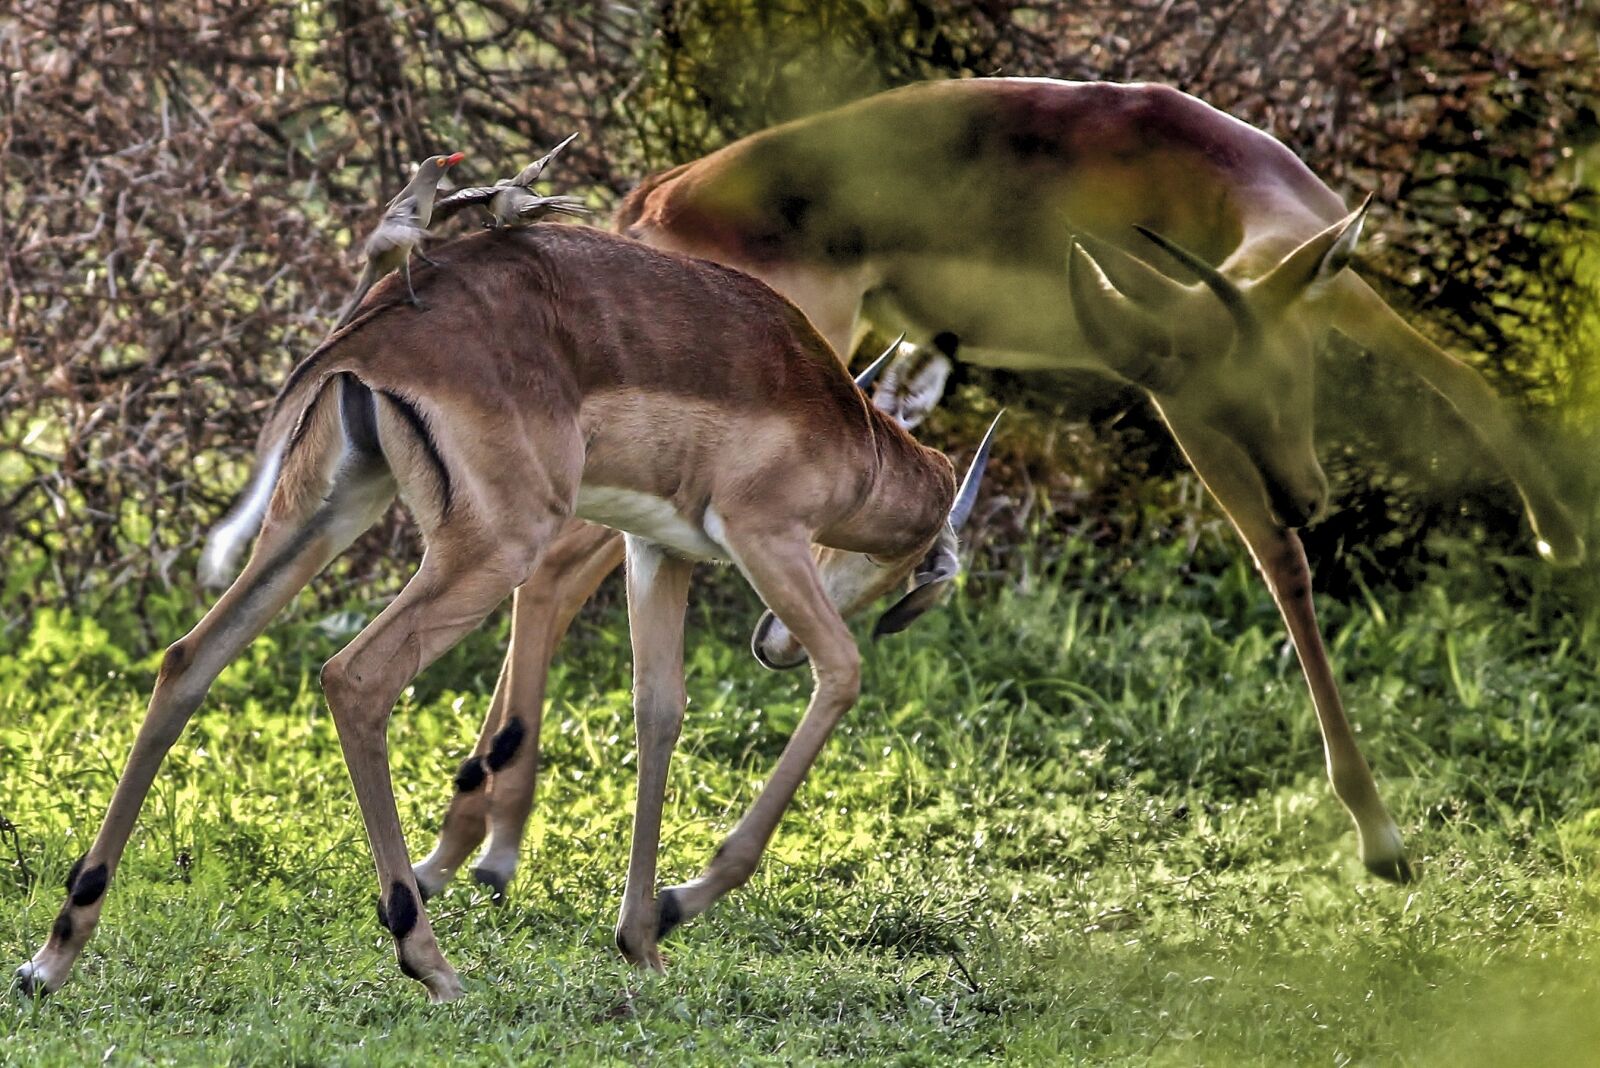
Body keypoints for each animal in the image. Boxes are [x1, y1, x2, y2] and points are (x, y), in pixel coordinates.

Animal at [14, 223, 996, 1001]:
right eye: (912, 564)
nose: (770, 647)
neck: (845, 428)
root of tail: (375, 334)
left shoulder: (658, 551)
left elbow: (659, 712)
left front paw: (642, 939)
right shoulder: (767, 539)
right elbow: (844, 673)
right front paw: (681, 900)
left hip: (325, 515)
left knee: (190, 659)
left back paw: (52, 955)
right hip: (493, 547)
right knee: (355, 676)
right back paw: (430, 959)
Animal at [405, 77, 1585, 901]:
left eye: (1280, 374)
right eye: (1211, 391)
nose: (1303, 488)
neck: (1204, 172)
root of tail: (656, 197)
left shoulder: (1326, 298)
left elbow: (1461, 380)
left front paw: (1559, 535)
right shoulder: (1179, 400)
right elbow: (1281, 566)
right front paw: (1381, 836)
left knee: (557, 571)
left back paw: (472, 853)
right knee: (556, 567)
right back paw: (478, 854)